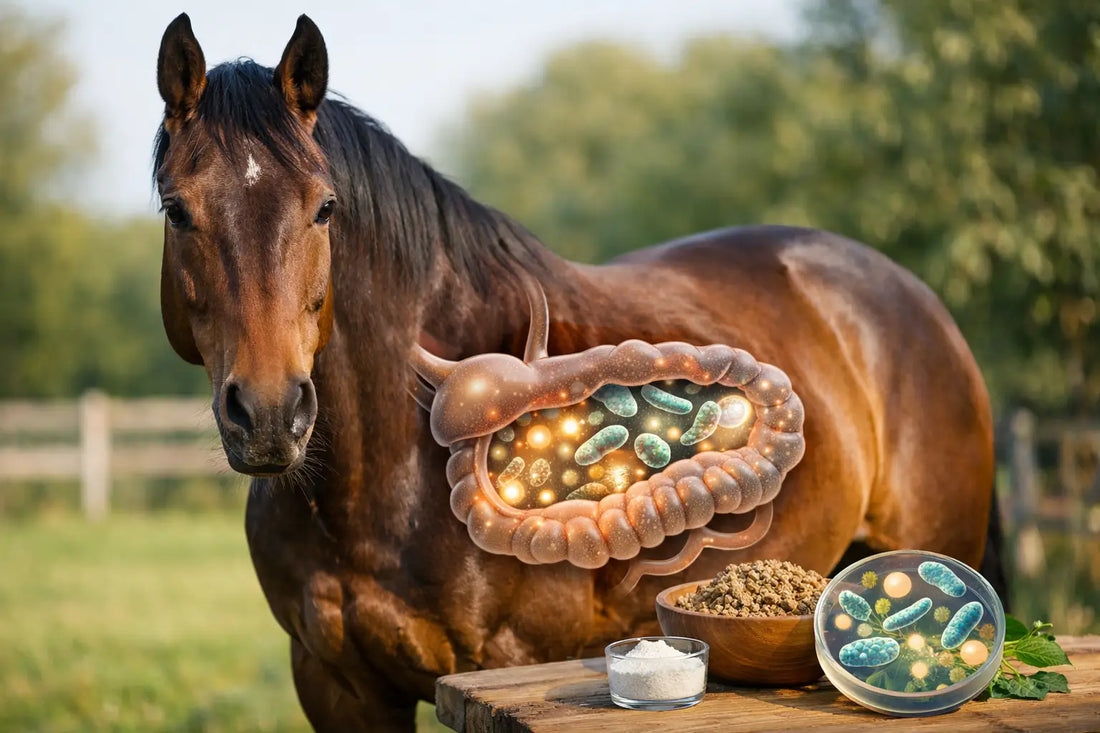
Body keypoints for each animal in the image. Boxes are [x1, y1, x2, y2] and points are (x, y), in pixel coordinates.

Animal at [154, 14, 996, 731]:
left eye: (325, 206)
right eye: (176, 209)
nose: (269, 414)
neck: (394, 471)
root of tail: (904, 292)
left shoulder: (506, 669)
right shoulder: (336, 684)